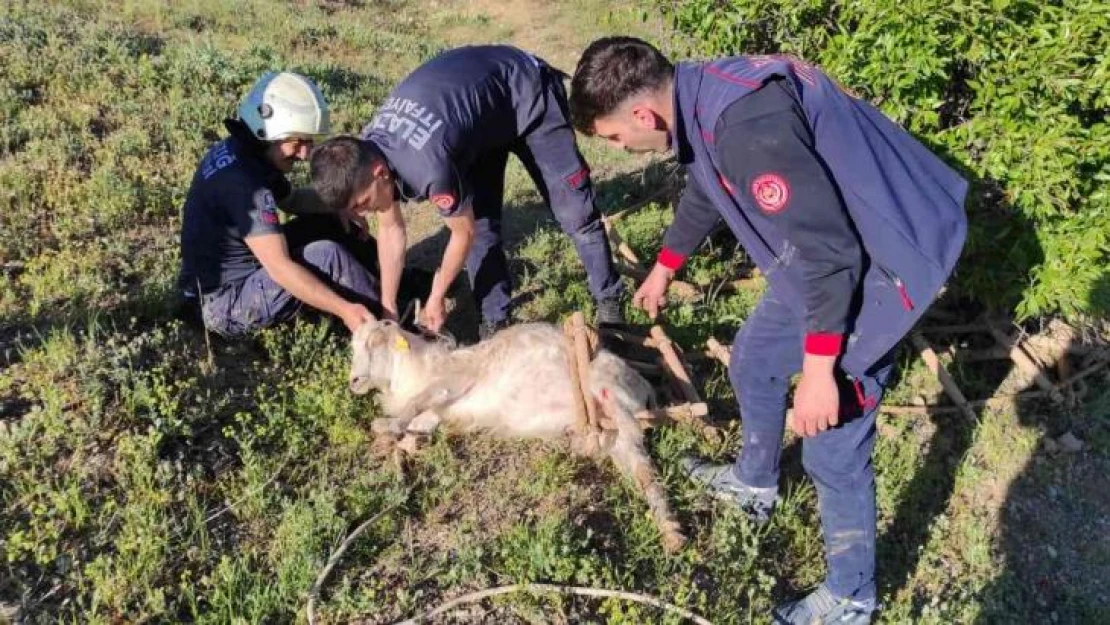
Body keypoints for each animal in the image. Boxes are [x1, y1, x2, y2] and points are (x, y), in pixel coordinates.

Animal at [350, 319, 688, 550]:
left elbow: (418, 403)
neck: (418, 368)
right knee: (645, 474)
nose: (353, 381)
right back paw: (672, 532)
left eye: (374, 342)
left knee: (637, 450)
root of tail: (642, 386)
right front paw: (394, 445)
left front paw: (384, 426)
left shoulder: (452, 381)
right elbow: (417, 425)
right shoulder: (439, 411)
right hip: (617, 440)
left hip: (613, 399)